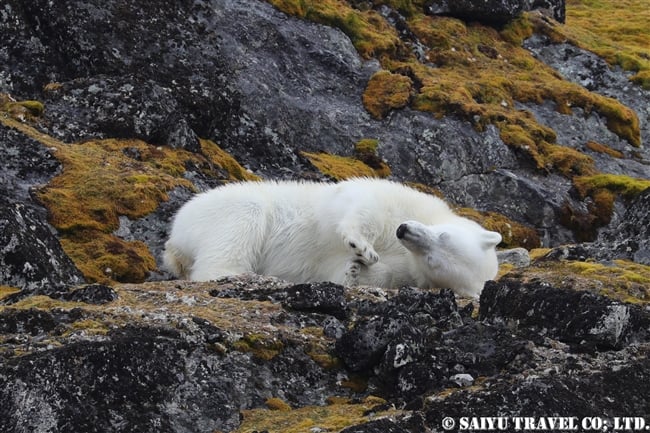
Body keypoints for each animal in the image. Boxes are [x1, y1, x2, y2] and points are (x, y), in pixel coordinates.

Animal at [162, 178, 502, 296]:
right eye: (443, 234)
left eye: (434, 260)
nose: (404, 231)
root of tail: (174, 242)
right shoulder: (405, 200)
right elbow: (366, 205)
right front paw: (362, 246)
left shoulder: (407, 271)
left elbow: (351, 271)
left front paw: (355, 269)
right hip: (216, 210)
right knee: (244, 215)